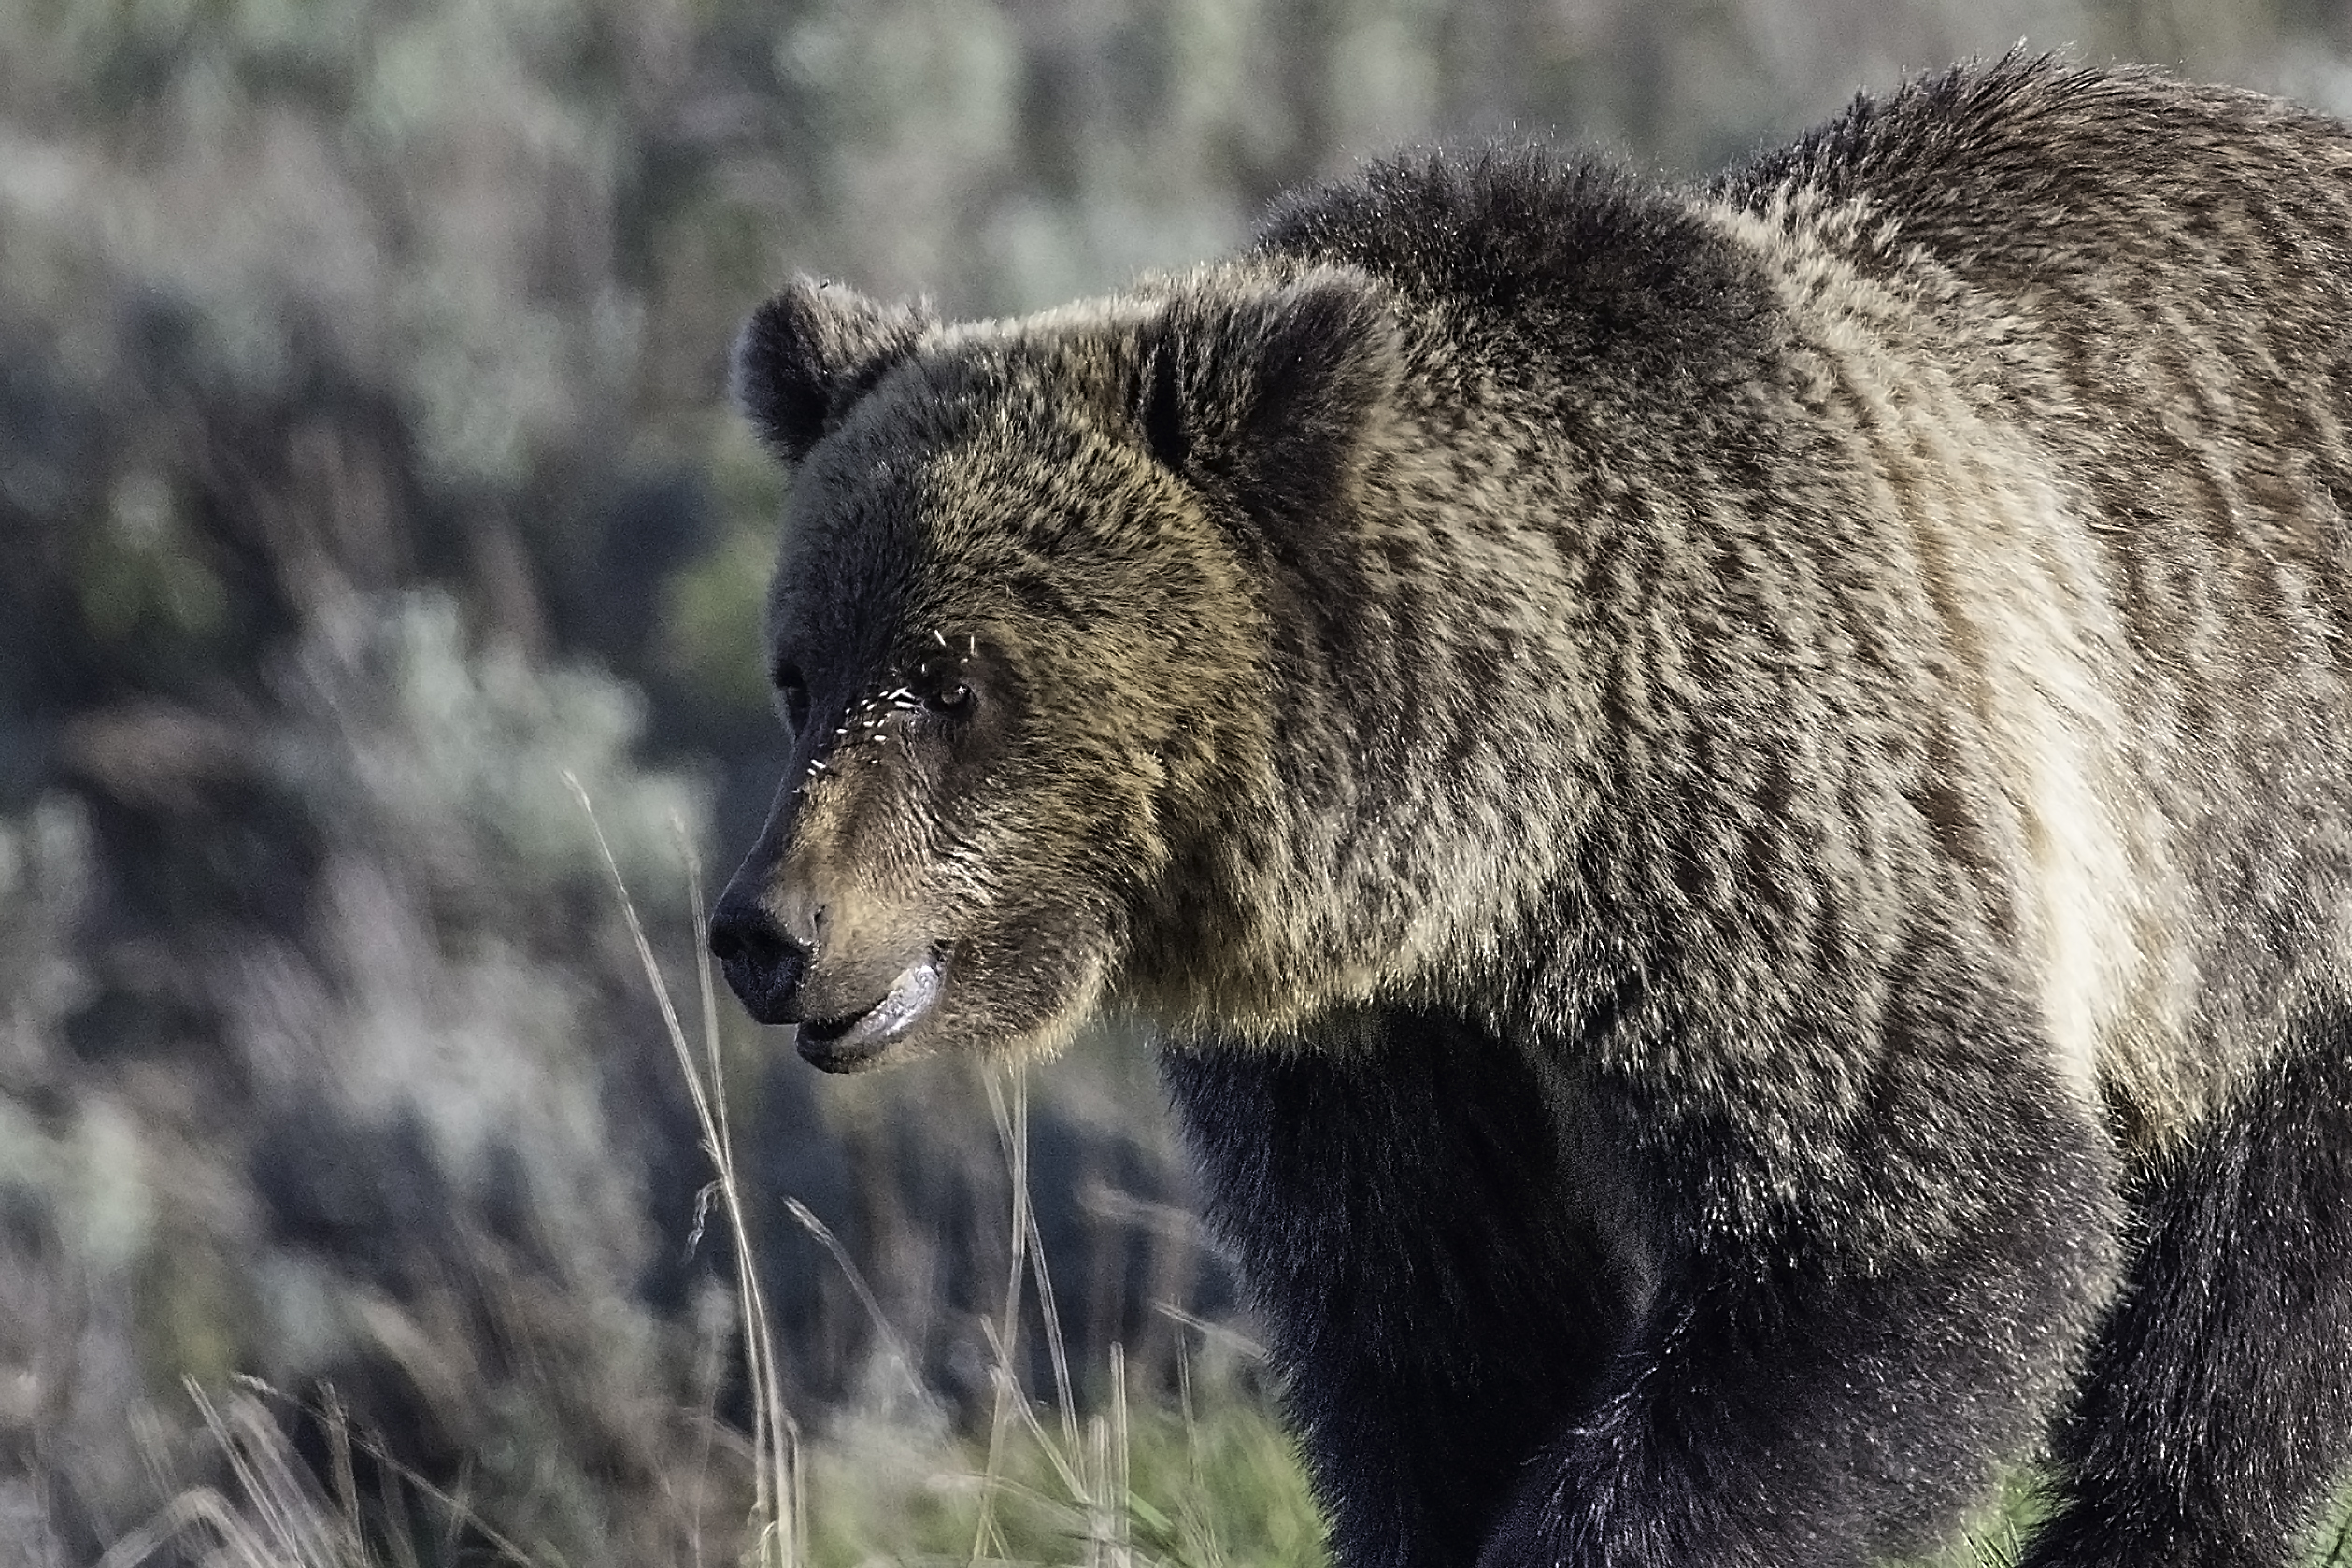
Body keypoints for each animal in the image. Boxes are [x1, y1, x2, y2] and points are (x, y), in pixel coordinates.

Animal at [708, 56, 2352, 1568]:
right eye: (802, 673)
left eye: (950, 678)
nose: (766, 928)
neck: (1505, 851)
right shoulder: (1375, 1058)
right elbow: (1437, 1331)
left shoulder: (1772, 835)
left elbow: (1895, 1226)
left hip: (2264, 866)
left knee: (2234, 1331)